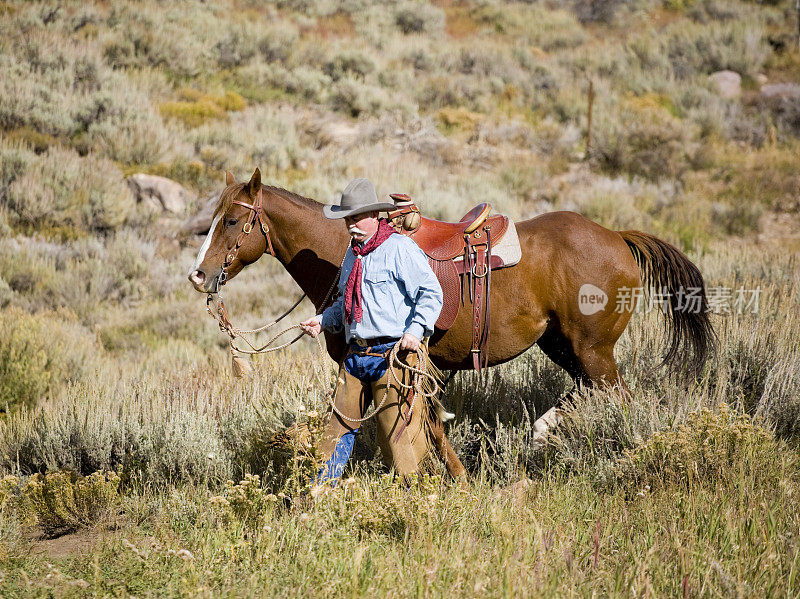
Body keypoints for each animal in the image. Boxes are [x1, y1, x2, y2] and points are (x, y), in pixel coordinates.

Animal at [189, 170, 720, 478]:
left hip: (593, 353)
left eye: (232, 222)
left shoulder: (410, 364)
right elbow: (424, 429)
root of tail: (618, 237)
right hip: (564, 348)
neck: (349, 249)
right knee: (589, 396)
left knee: (617, 398)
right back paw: (544, 436)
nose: (197, 275)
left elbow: (422, 429)